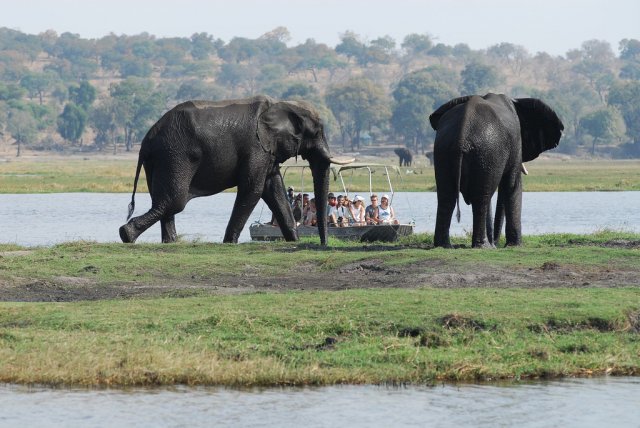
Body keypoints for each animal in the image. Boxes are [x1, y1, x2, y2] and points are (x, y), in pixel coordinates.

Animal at [120, 95, 350, 246]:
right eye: (317, 132)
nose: (323, 244)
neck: (281, 104)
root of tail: (146, 141)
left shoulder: (268, 149)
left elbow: (274, 189)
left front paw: (293, 240)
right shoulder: (256, 146)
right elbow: (253, 189)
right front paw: (229, 243)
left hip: (160, 159)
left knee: (165, 201)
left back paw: (169, 242)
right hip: (174, 155)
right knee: (174, 200)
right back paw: (126, 235)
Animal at [428, 93, 564, 247]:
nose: (496, 243)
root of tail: (464, 128)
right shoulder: (516, 142)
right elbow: (512, 185)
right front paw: (514, 246)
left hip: (446, 149)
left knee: (447, 196)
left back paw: (444, 245)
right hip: (486, 150)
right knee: (481, 198)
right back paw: (484, 246)